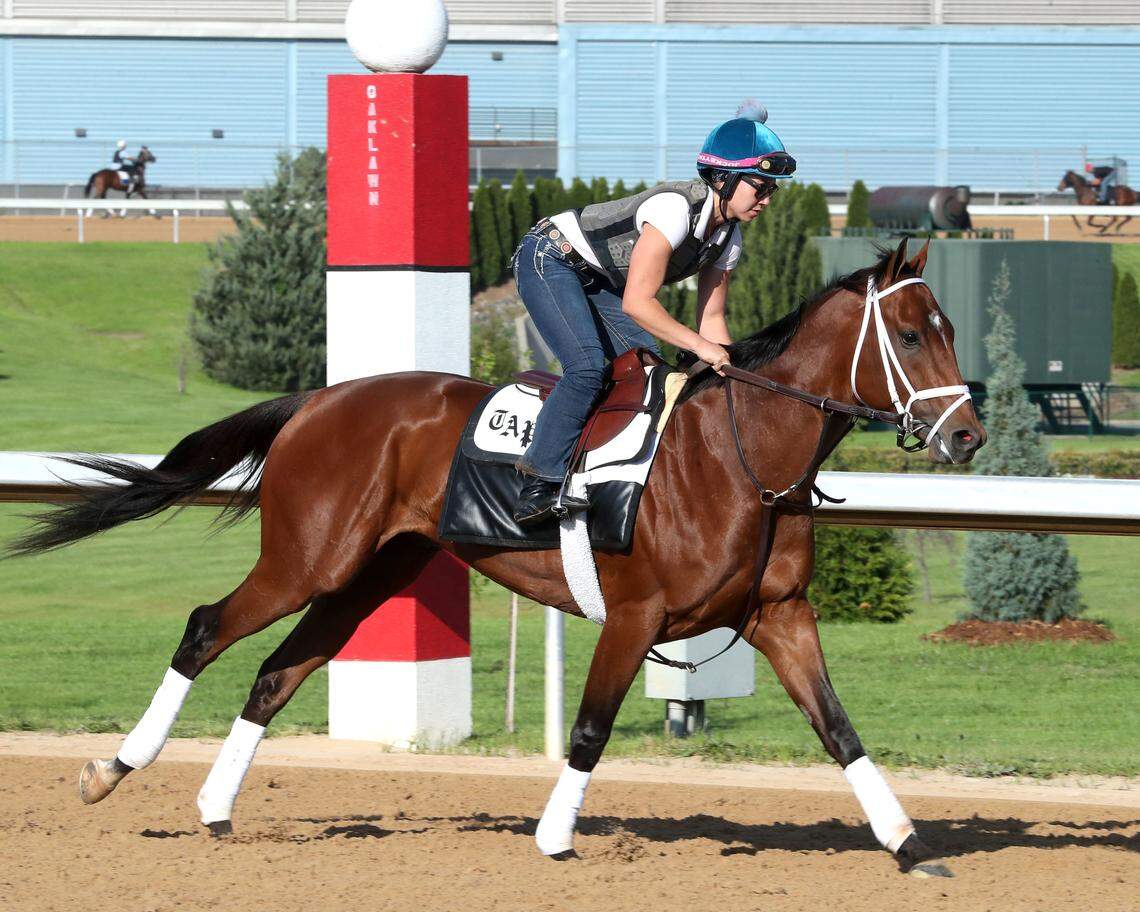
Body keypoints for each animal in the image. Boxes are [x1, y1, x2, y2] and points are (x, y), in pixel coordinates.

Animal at [10, 237, 984, 875]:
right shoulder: (635, 616)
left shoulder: (780, 615)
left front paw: (910, 846)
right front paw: (554, 838)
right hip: (308, 561)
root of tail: (317, 401)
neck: (740, 458)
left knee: (277, 672)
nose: (968, 435)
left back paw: (216, 808)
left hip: (371, 575)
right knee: (207, 628)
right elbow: (589, 729)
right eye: (909, 336)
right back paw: (112, 770)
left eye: (948, 328)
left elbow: (839, 728)